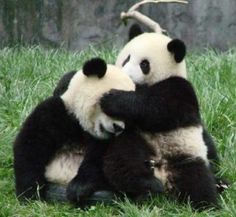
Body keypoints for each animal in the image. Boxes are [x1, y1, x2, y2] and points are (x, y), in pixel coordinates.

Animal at [13, 57, 136, 203]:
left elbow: (103, 160)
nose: (119, 128)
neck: (83, 126)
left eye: (126, 115)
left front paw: (79, 188)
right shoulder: (59, 112)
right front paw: (30, 193)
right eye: (110, 107)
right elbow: (31, 144)